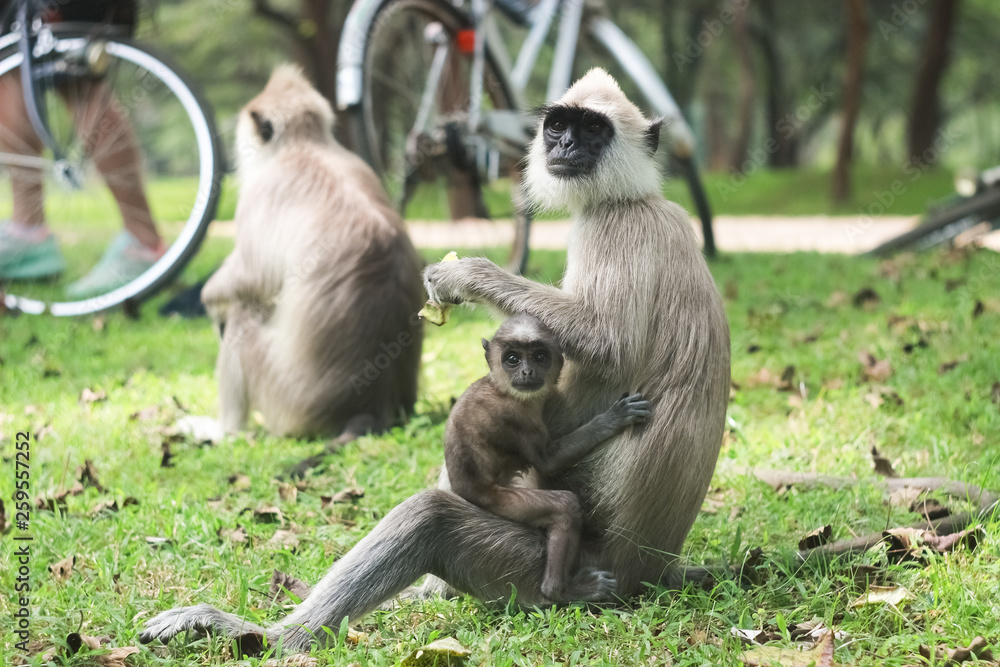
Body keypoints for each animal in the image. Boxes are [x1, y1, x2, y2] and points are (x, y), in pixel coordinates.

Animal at [199, 65, 424, 450]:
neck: (306, 144)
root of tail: (373, 402)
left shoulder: (265, 189)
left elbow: (253, 278)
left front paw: (209, 299)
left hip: (285, 400)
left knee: (244, 317)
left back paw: (222, 432)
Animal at [446, 314, 651, 601]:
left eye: (540, 357)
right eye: (512, 359)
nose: (527, 372)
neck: (498, 387)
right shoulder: (517, 416)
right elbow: (547, 462)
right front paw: (613, 418)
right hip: (500, 501)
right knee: (565, 507)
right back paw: (560, 591)